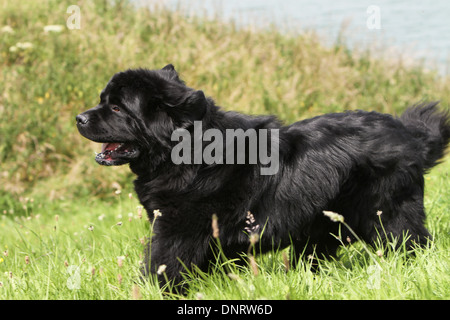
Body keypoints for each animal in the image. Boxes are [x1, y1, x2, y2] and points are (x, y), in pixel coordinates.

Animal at [77, 63, 450, 286]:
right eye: (103, 101)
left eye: (116, 107)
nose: (79, 118)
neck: (187, 154)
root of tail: (409, 135)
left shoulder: (177, 228)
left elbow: (162, 262)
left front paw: (152, 289)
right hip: (321, 227)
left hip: (388, 216)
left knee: (412, 242)